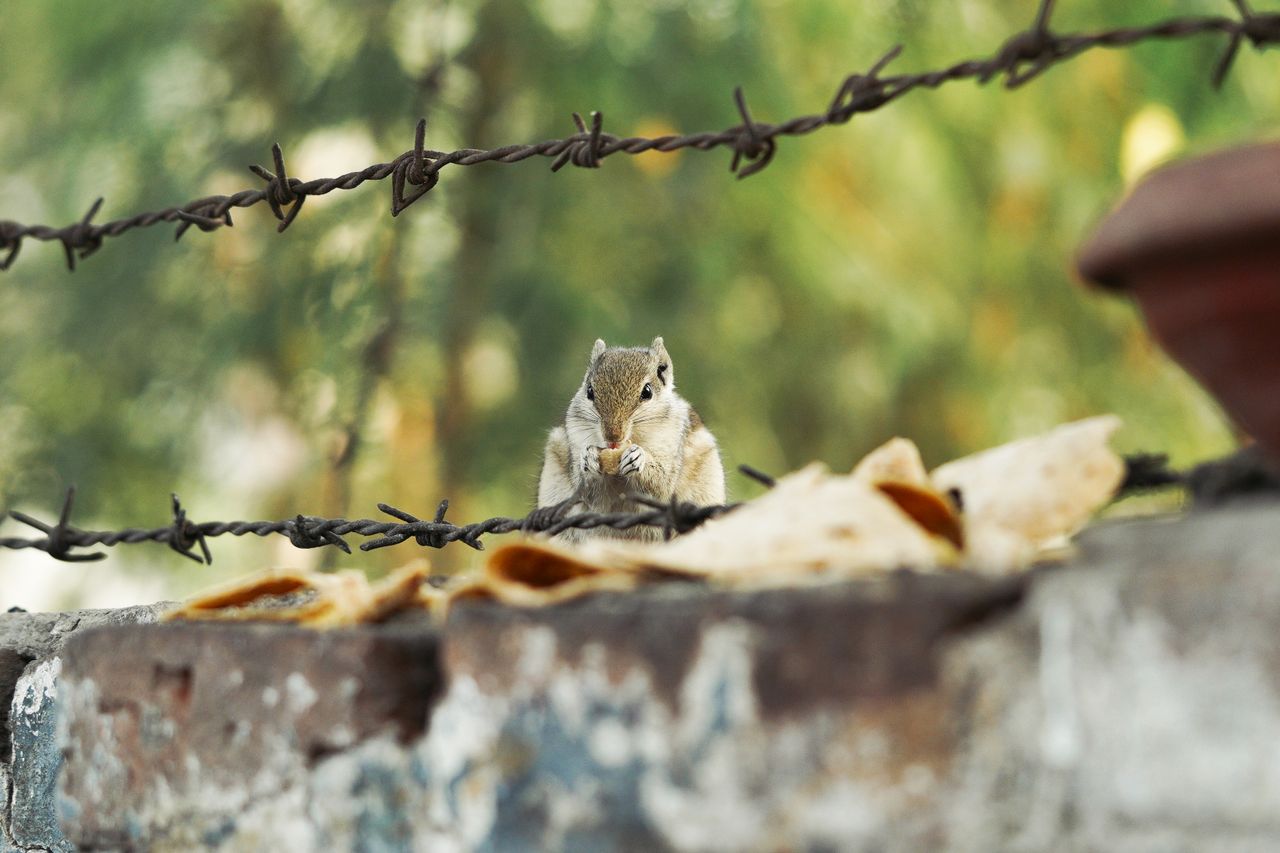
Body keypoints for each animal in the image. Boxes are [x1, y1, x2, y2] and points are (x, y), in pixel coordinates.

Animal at [537, 337, 726, 543]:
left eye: (647, 392)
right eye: (589, 391)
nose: (613, 436)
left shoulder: (672, 441)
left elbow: (662, 483)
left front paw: (638, 458)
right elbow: (587, 492)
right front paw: (589, 458)